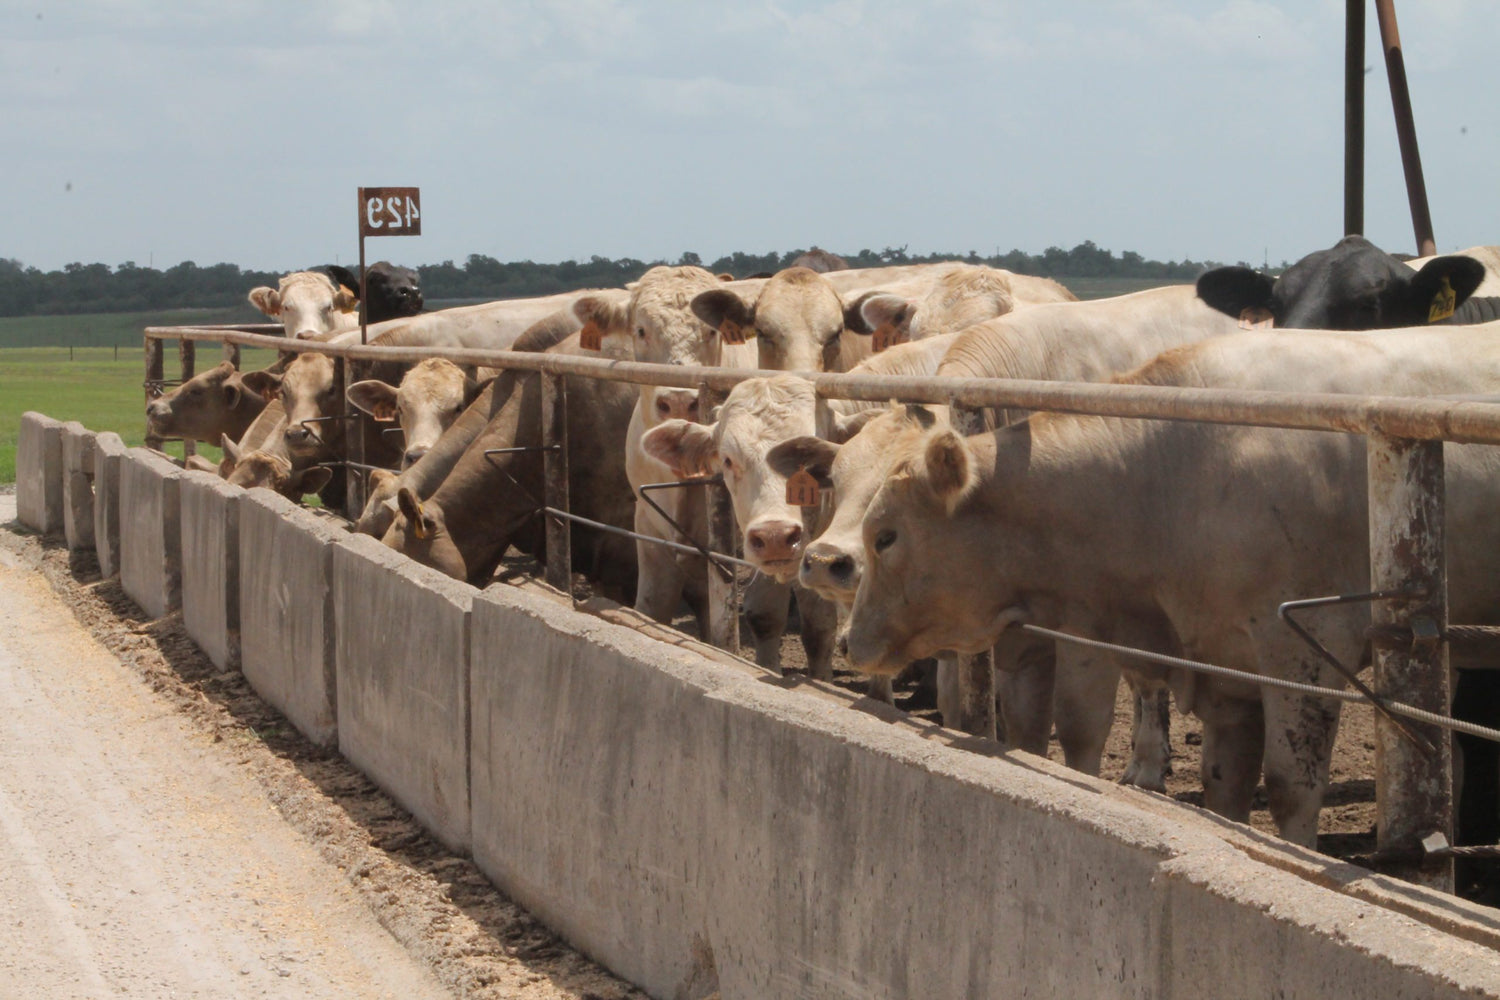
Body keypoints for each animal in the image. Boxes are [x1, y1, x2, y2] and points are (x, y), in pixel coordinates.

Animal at [843, 323, 1500, 848]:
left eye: (886, 536)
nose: (852, 641)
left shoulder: (1308, 645)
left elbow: (1292, 784)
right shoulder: (1224, 663)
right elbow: (1224, 783)